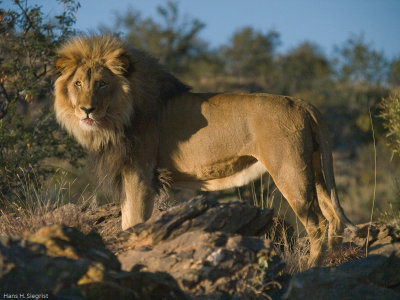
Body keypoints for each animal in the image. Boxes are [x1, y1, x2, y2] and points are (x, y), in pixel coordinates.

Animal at [54, 34, 356, 266]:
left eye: (102, 83)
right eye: (78, 83)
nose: (86, 109)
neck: (118, 116)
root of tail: (303, 103)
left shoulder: (140, 173)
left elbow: (134, 221)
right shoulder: (135, 175)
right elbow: (130, 219)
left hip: (290, 171)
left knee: (318, 224)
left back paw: (309, 267)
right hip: (316, 169)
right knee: (334, 219)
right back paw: (331, 263)